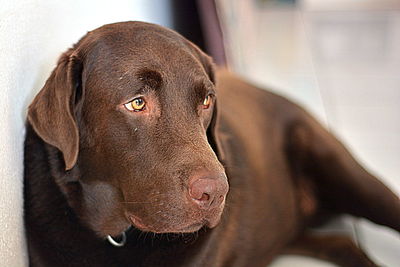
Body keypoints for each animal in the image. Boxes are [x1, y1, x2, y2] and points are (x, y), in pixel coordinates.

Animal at [25, 21, 400, 267]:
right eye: (136, 103)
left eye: (206, 101)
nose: (217, 192)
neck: (116, 236)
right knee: (342, 243)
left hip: (347, 174)